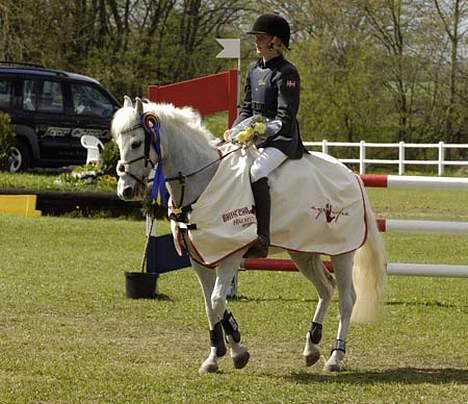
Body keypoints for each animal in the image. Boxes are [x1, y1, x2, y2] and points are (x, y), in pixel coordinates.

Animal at [111, 96, 386, 374]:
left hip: (342, 252)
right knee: (326, 288)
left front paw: (237, 351)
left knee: (347, 299)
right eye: (118, 143)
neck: (204, 180)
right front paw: (215, 356)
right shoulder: (199, 258)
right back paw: (311, 347)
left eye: (136, 143)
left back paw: (335, 357)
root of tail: (351, 174)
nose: (125, 190)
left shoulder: (231, 255)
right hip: (302, 252)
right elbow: (210, 305)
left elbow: (218, 299)